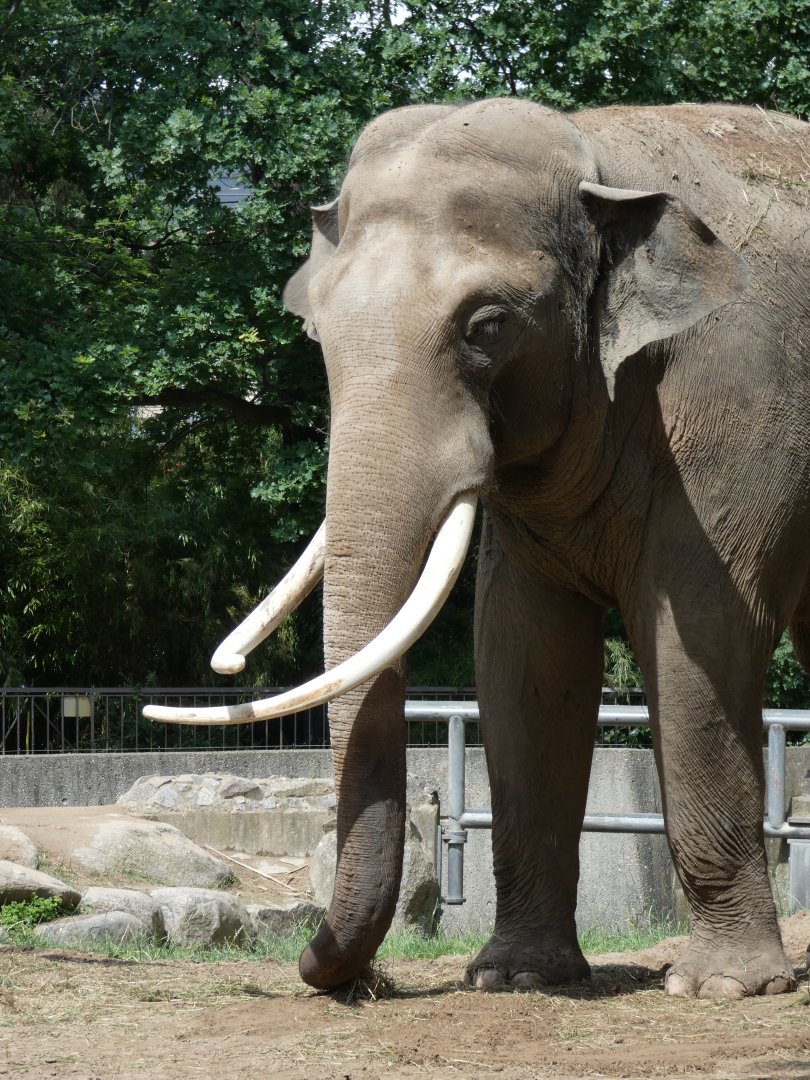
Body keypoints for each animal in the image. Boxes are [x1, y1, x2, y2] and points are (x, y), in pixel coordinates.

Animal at [146, 99, 810, 999]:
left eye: (487, 326)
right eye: (316, 334)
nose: (341, 976)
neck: (602, 155)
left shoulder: (740, 398)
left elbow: (701, 636)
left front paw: (722, 988)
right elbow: (523, 654)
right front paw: (513, 977)